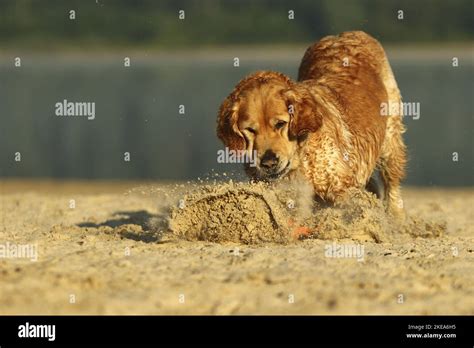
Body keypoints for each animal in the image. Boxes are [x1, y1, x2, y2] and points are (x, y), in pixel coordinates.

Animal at [217, 32, 406, 218]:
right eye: (250, 130)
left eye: (280, 124)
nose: (269, 163)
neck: (300, 160)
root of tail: (344, 34)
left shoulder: (343, 188)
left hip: (390, 140)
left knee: (391, 182)